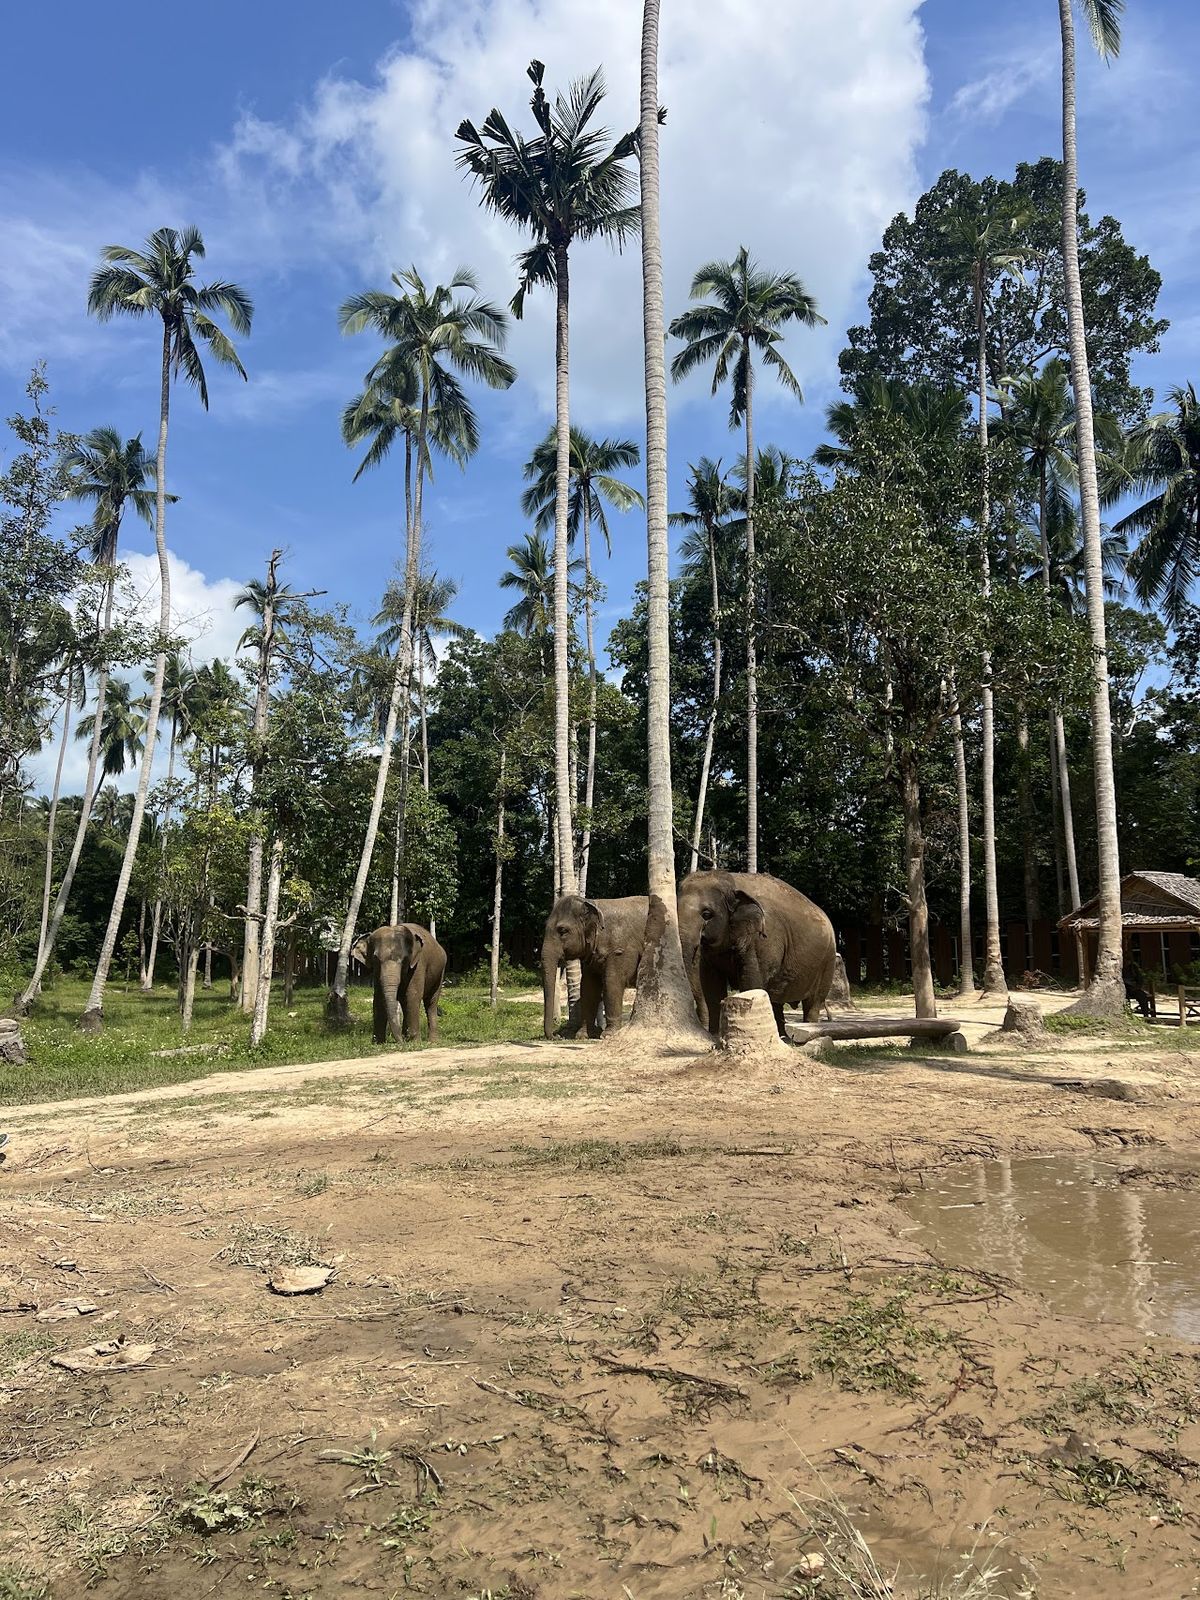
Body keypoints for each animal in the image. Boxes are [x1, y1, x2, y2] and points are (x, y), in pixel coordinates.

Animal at [541, 894, 649, 1039]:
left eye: (563, 931)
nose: (557, 1036)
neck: (593, 903)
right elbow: (588, 986)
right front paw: (582, 1035)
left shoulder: (620, 949)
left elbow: (612, 982)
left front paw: (608, 1035)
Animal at [677, 870, 836, 1040]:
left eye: (706, 914)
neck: (731, 881)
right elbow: (711, 985)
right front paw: (715, 1036)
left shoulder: (763, 940)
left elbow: (751, 982)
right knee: (776, 1000)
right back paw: (783, 1037)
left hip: (828, 961)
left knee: (813, 1002)